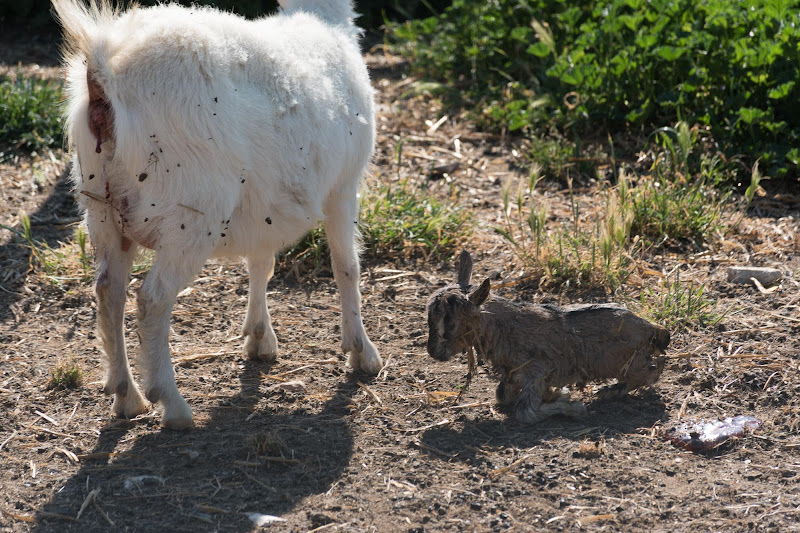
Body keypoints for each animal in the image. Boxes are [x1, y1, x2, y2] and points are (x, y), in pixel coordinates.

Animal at [54, 0, 384, 428]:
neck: (324, 21)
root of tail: (104, 72)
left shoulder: (264, 204)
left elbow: (262, 264)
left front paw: (260, 336)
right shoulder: (344, 186)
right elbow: (347, 267)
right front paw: (362, 351)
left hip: (101, 207)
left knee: (109, 292)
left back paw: (127, 396)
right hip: (192, 214)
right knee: (153, 299)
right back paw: (172, 404)